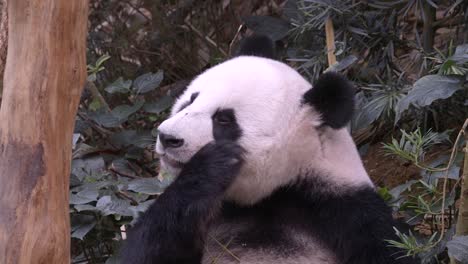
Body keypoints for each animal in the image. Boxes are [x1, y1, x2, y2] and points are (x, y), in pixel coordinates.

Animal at [119, 35, 414, 264]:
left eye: (224, 119)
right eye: (189, 101)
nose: (168, 137)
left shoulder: (346, 210)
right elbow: (142, 250)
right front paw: (210, 167)